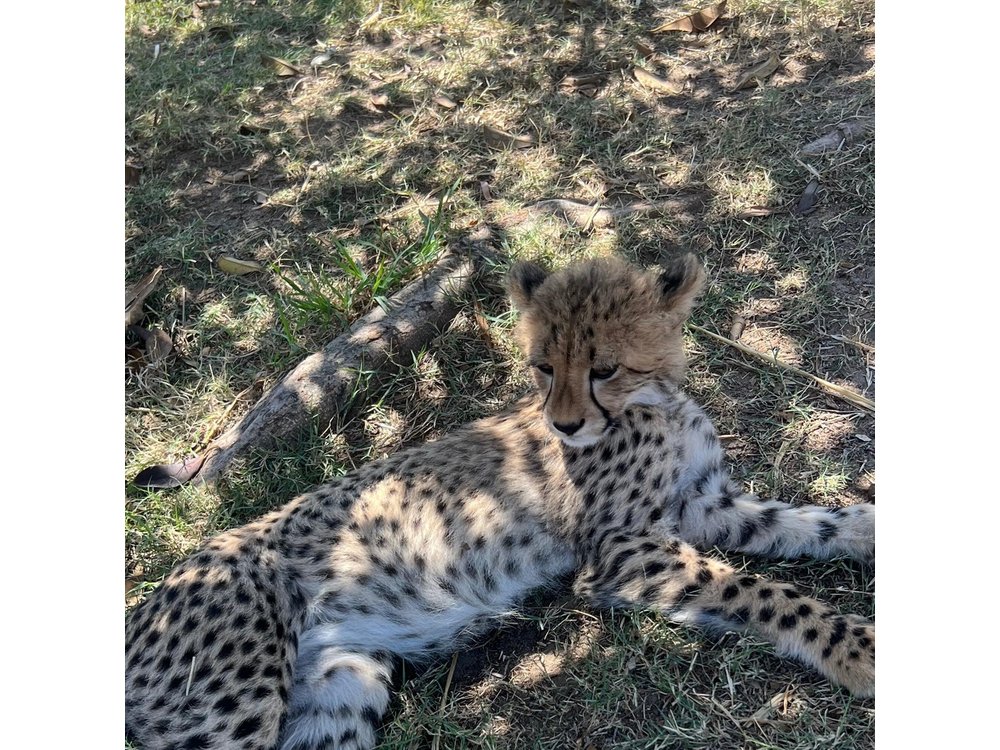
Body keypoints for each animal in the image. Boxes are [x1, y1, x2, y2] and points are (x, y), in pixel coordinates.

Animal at [125, 253, 875, 750]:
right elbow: (764, 591)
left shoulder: (703, 506)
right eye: (543, 366)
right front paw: (858, 649)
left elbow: (801, 523)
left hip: (342, 682)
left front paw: (865, 528)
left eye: (604, 367)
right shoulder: (622, 550)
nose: (565, 425)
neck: (653, 402)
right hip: (231, 699)